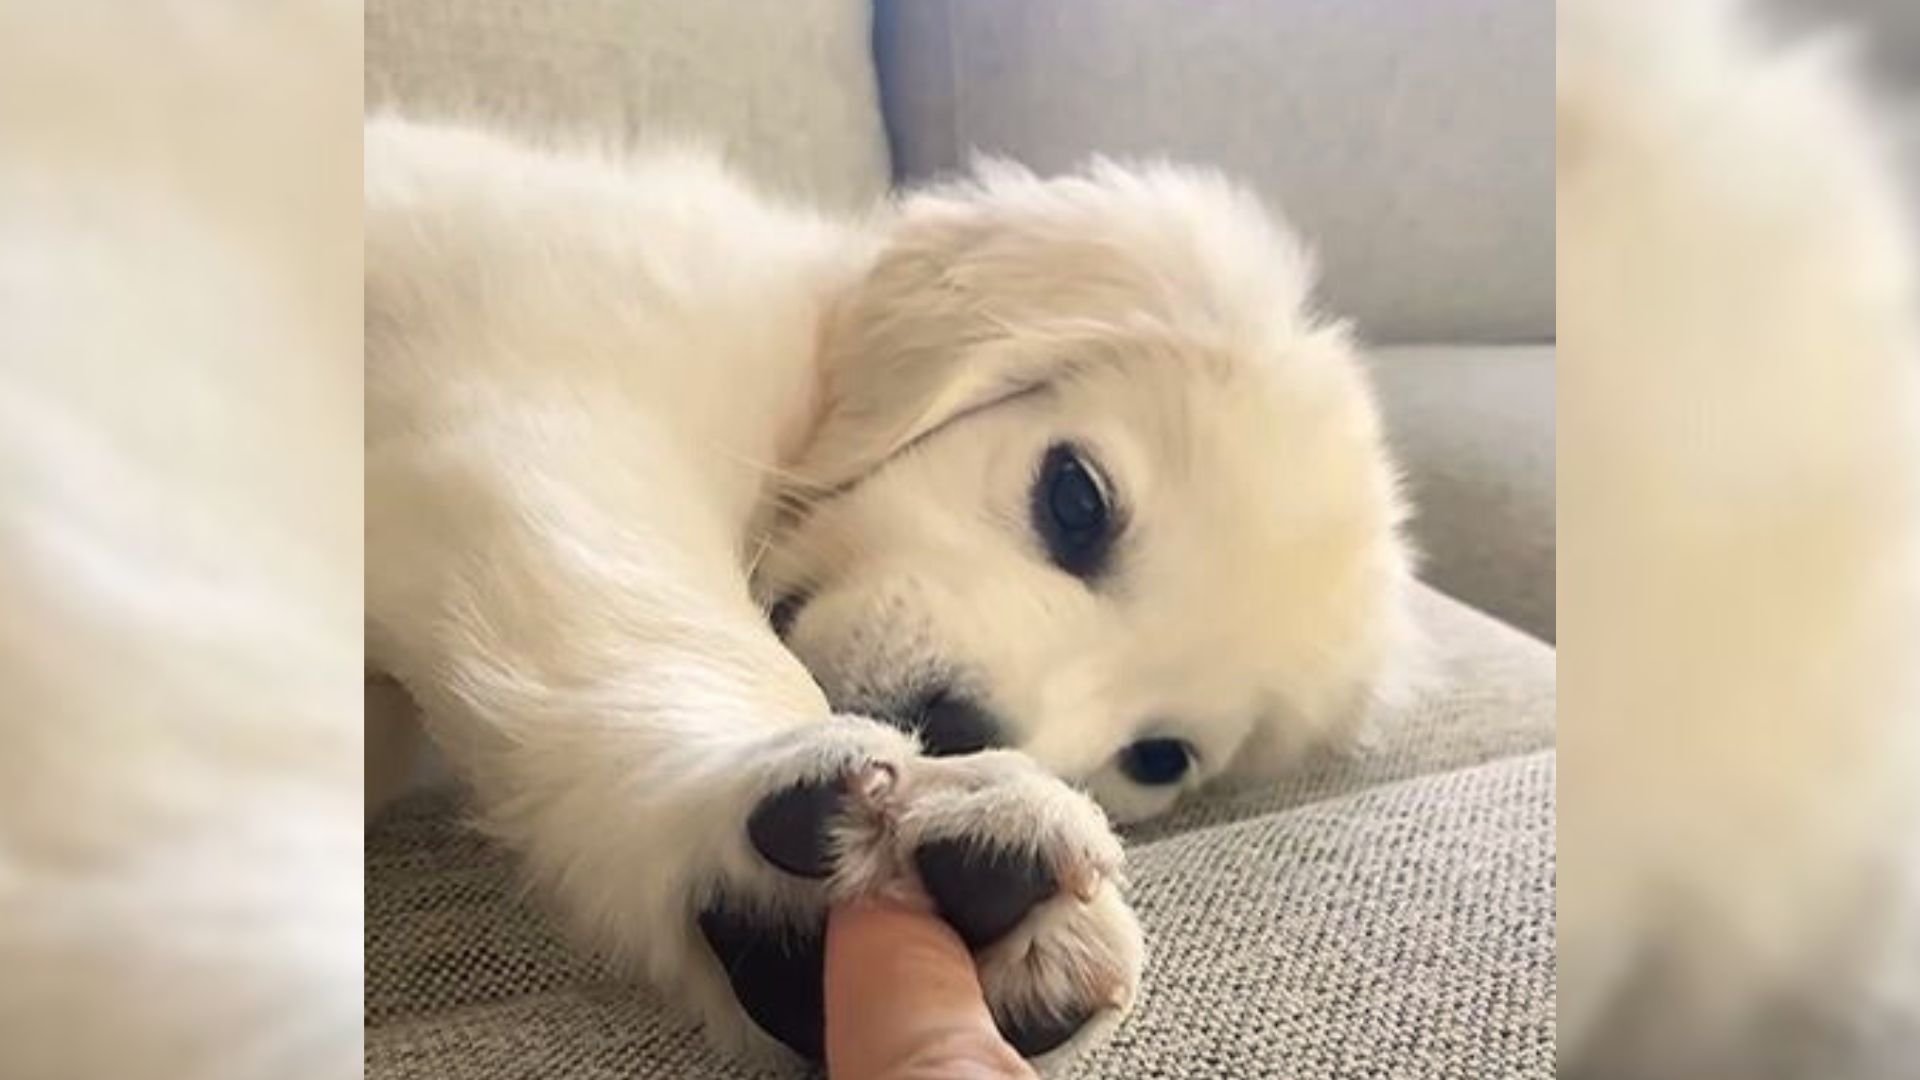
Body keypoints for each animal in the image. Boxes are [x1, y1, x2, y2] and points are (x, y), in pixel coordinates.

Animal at [362, 115, 1413, 1060]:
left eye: (1159, 758)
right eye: (1076, 499)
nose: (958, 727)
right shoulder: (561, 412)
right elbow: (662, 622)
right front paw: (861, 796)